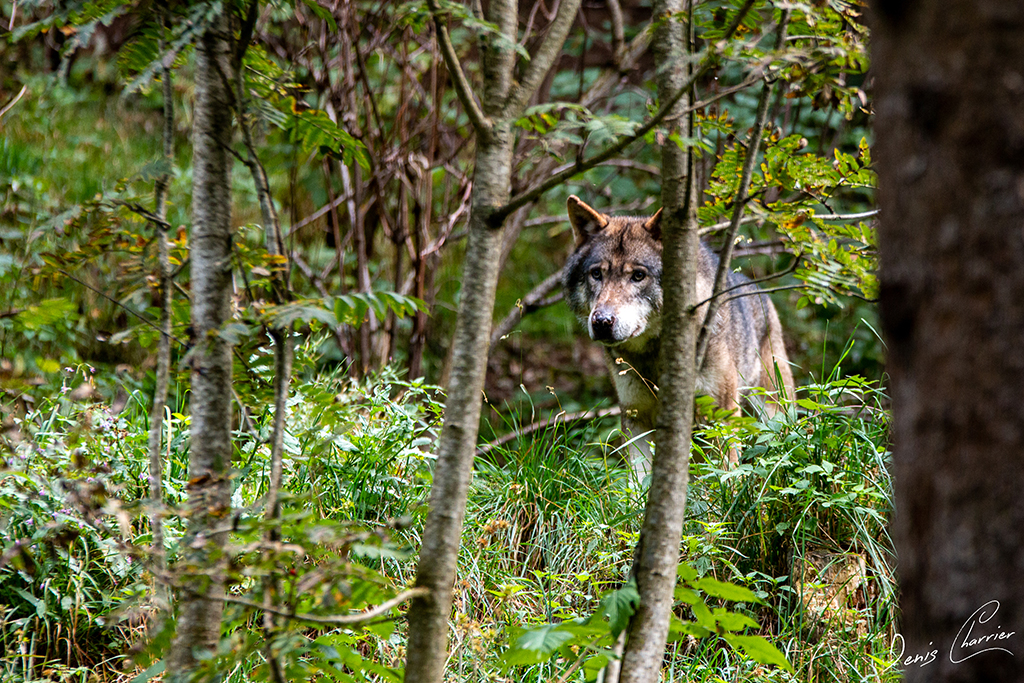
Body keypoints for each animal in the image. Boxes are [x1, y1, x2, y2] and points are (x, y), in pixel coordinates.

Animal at [562, 195, 795, 474]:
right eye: (596, 274)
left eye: (638, 275)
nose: (602, 322)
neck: (655, 357)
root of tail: (761, 293)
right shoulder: (636, 416)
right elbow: (638, 479)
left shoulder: (721, 414)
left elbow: (725, 474)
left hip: (772, 411)